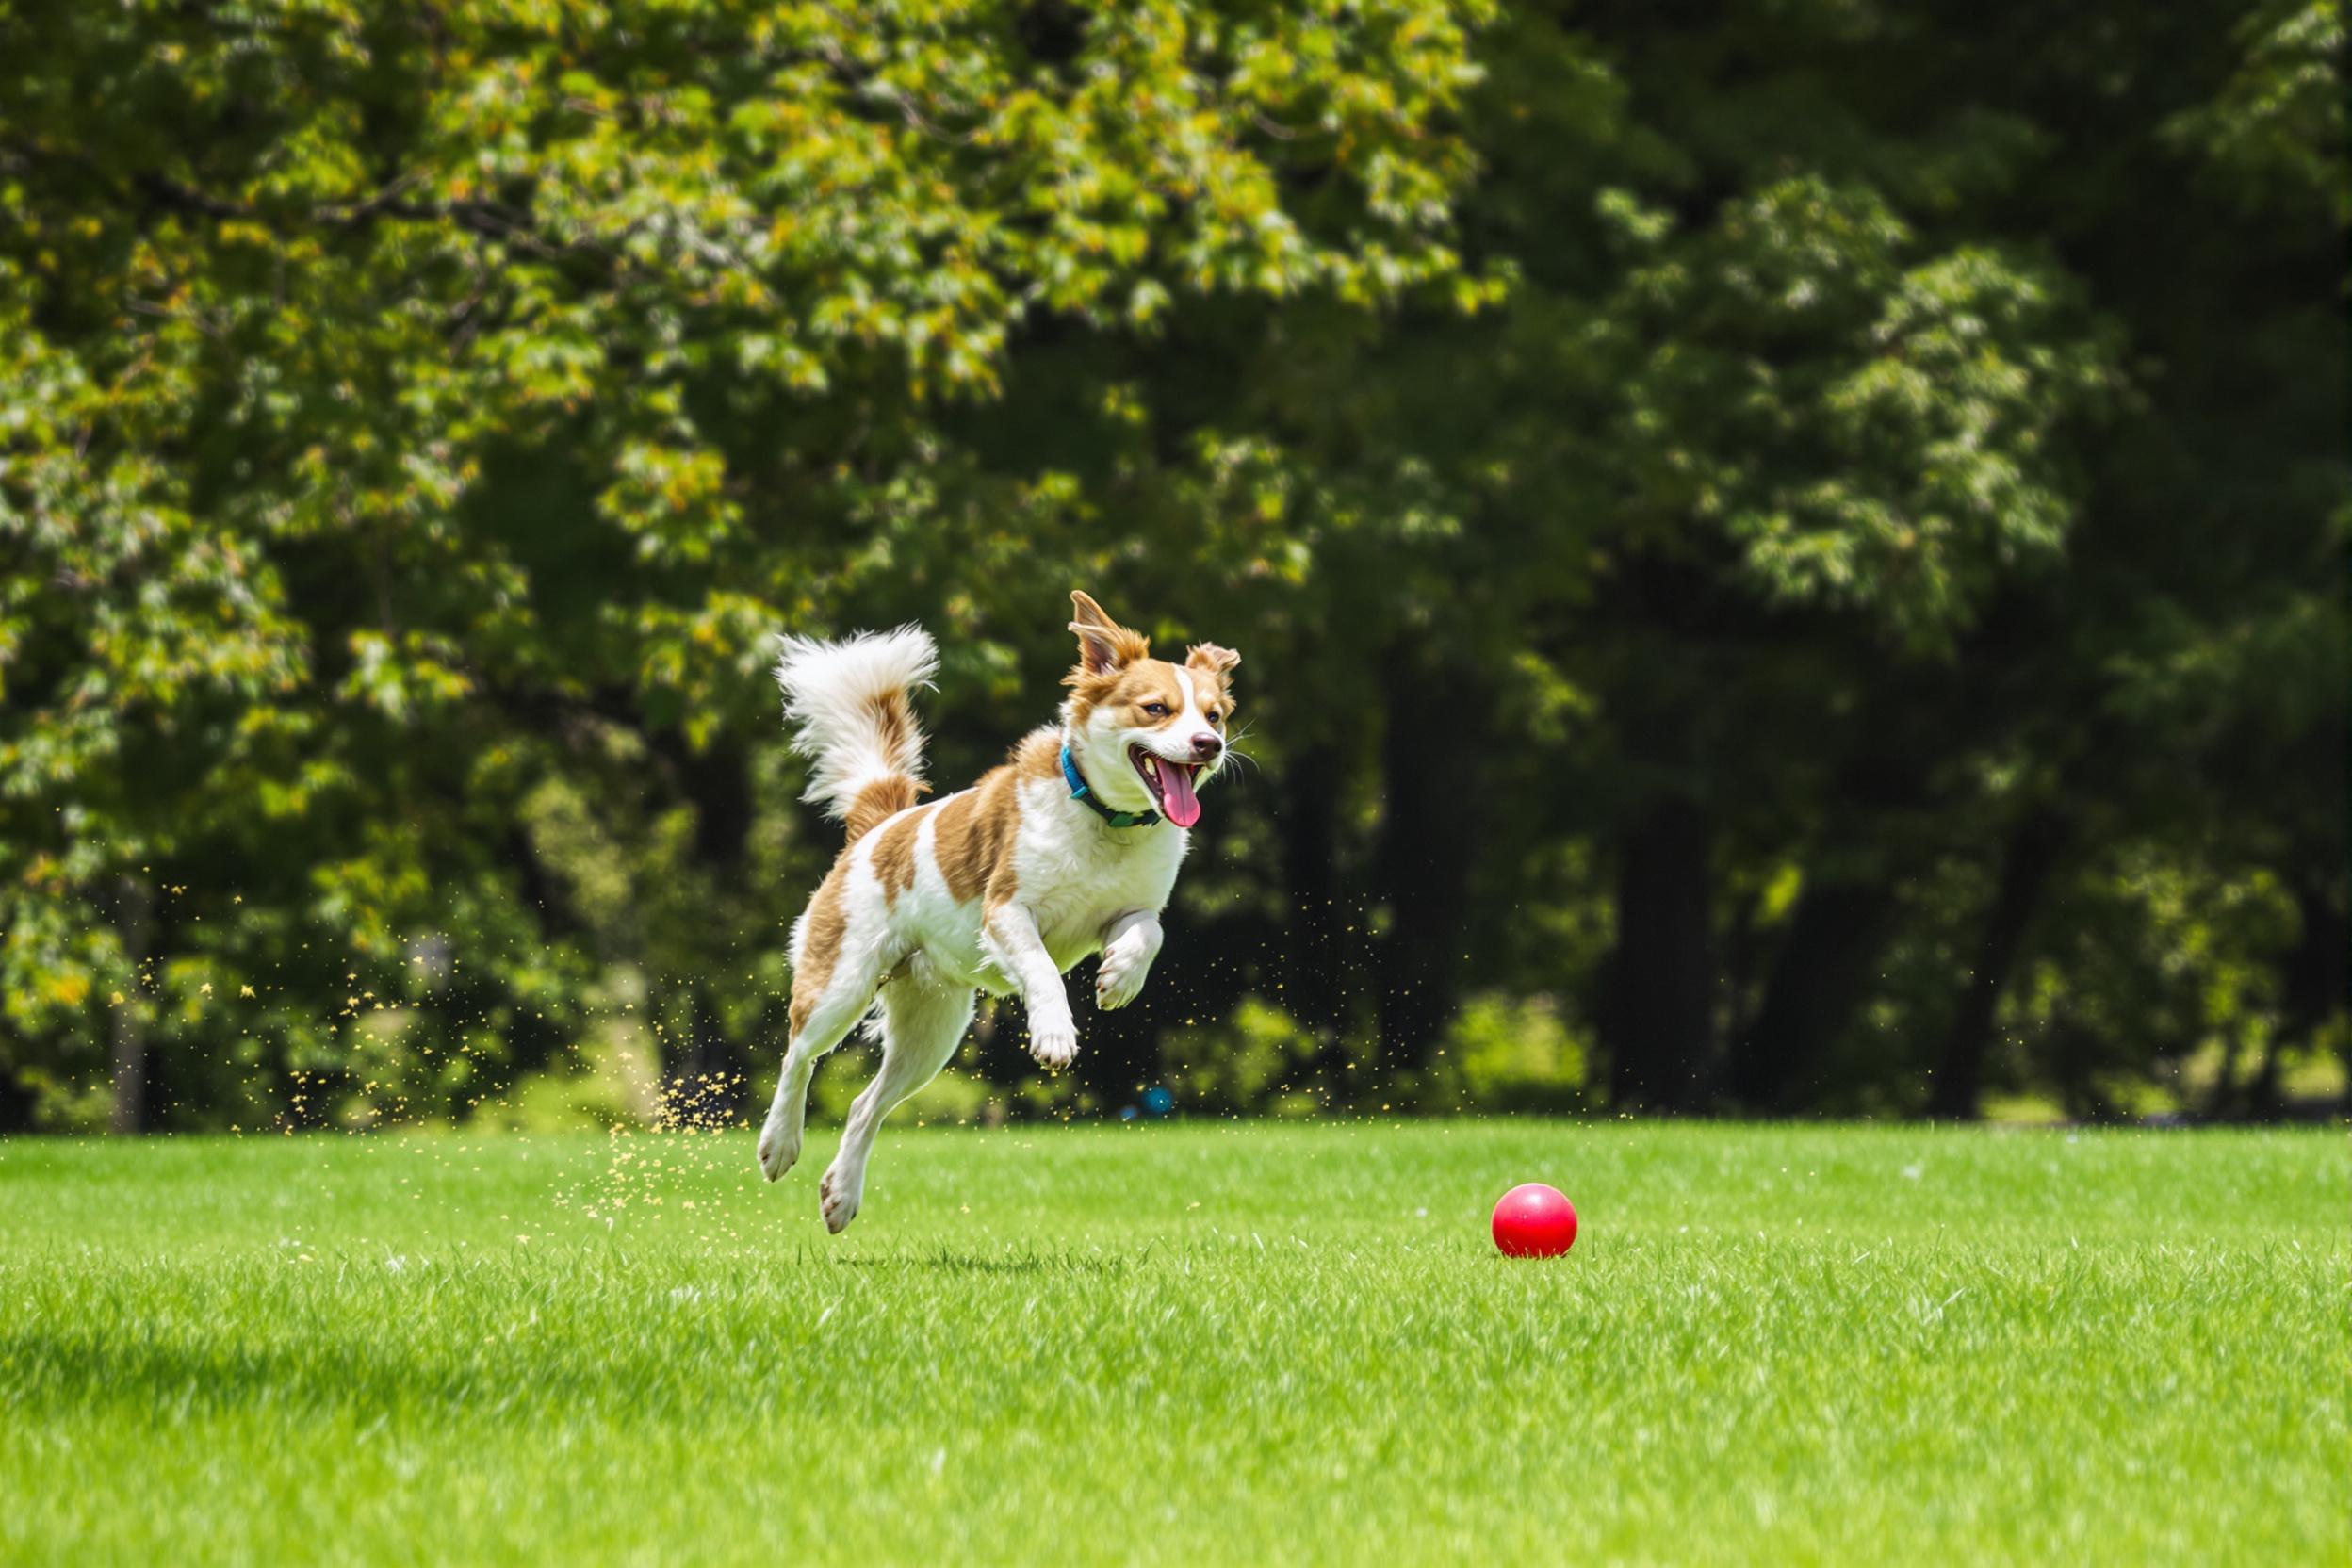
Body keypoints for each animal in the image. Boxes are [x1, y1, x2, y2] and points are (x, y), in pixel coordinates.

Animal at [757, 587, 1241, 1222]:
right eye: (1156, 709)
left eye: (1214, 715)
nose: (1210, 745)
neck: (1105, 819)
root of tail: (880, 826)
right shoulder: (1006, 910)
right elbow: (1041, 968)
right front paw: (1055, 1034)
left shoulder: (1131, 909)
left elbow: (1149, 933)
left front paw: (1119, 978)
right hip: (842, 981)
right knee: (798, 1055)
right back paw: (779, 1142)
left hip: (931, 1029)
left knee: (866, 1105)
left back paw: (841, 1193)